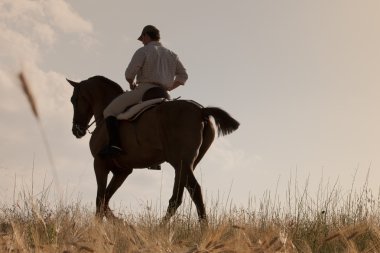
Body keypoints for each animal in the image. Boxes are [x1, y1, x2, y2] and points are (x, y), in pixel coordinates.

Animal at [65, 75, 238, 221]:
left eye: (73, 99)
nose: (76, 130)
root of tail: (201, 110)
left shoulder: (100, 164)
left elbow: (100, 199)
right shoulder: (122, 171)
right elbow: (106, 199)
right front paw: (121, 224)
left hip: (180, 161)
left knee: (189, 192)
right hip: (184, 165)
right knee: (183, 195)